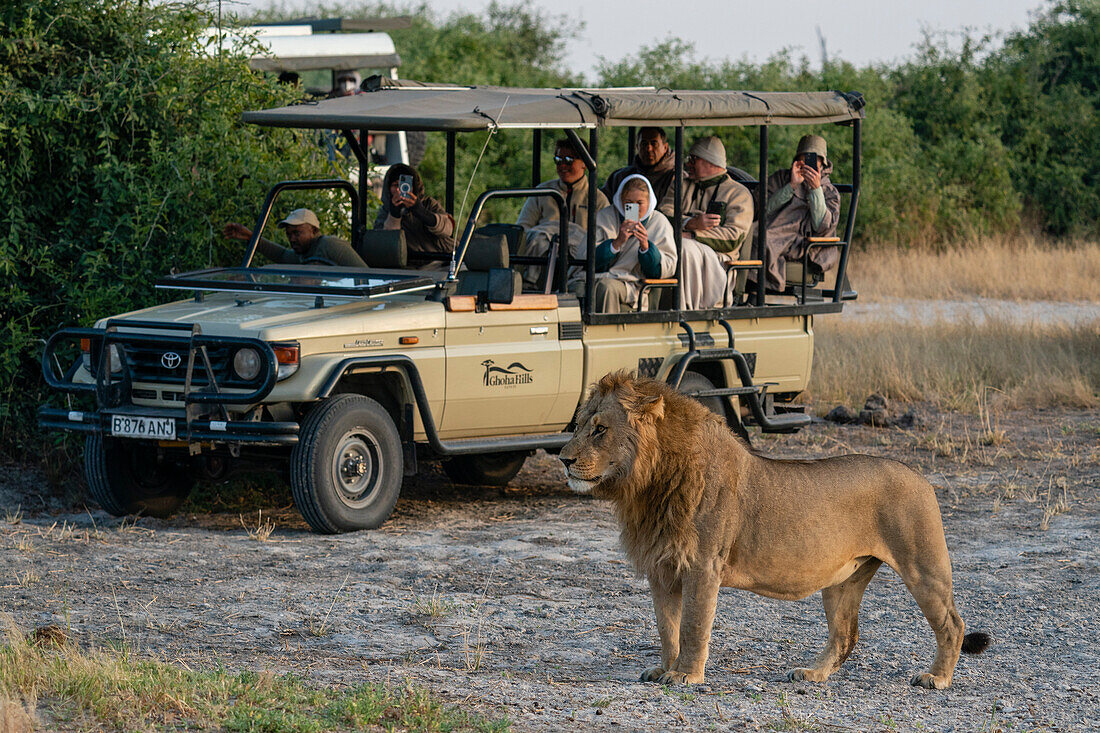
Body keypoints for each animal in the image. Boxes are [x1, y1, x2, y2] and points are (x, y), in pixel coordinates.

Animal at [558, 372, 990, 686]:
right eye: (578, 425)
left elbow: (694, 625)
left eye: (600, 429)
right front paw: (665, 668)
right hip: (842, 580)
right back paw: (813, 674)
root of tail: (920, 476)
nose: (563, 459)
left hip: (923, 567)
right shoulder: (662, 568)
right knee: (845, 635)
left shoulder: (703, 565)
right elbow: (667, 627)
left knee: (953, 625)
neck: (649, 485)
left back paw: (936, 678)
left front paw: (685, 676)